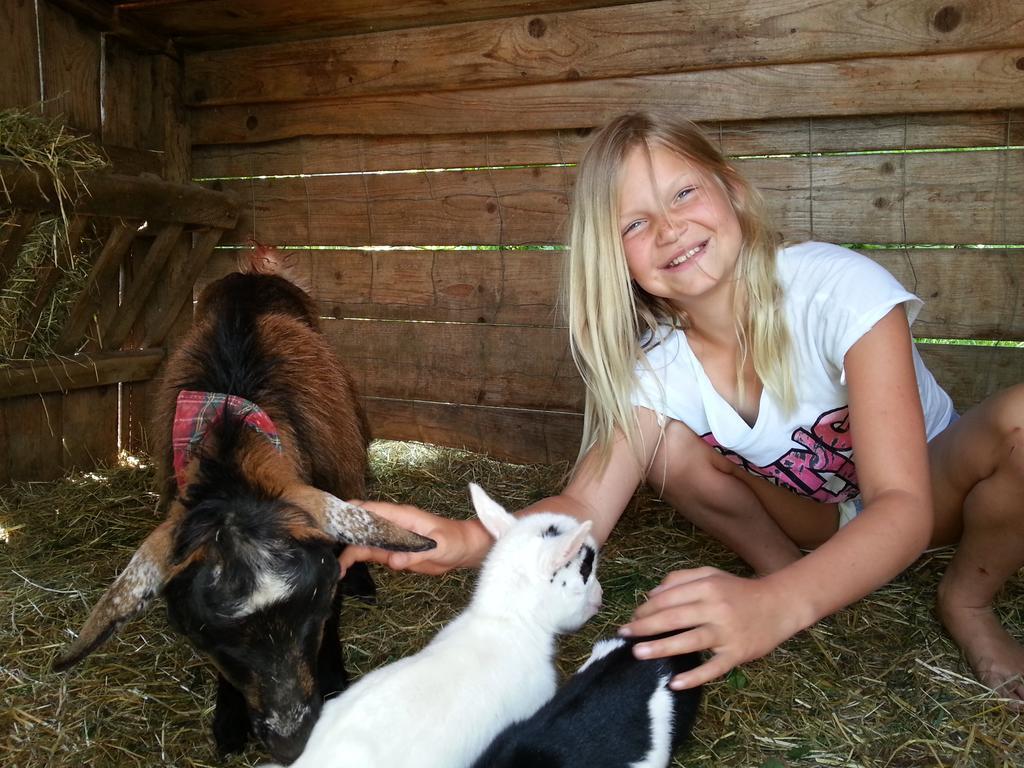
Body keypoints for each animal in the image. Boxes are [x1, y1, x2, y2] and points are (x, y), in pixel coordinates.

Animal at [54, 250, 434, 765]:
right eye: (204, 635)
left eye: (315, 609)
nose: (291, 741)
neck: (230, 440)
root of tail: (256, 268)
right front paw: (228, 720)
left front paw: (336, 679)